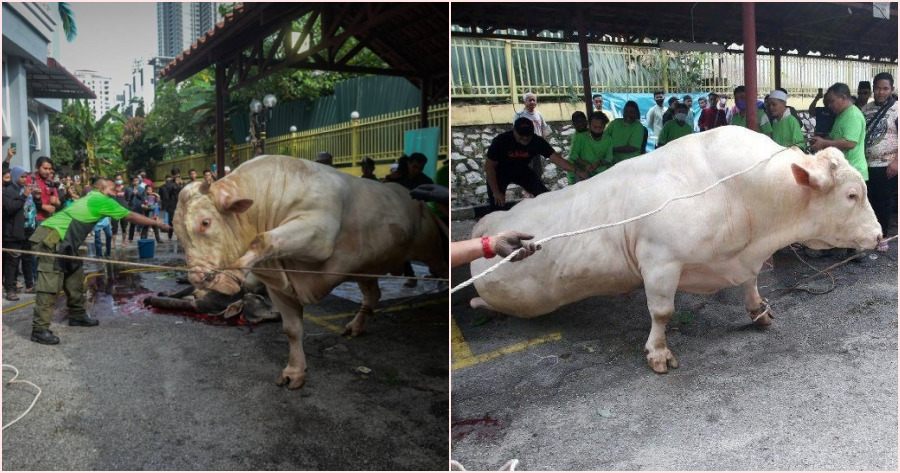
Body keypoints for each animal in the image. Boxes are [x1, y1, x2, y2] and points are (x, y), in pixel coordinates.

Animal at [174, 155, 447, 389]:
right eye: (176, 232)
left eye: (205, 222)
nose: (197, 278)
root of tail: (414, 200)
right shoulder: (278, 286)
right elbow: (292, 329)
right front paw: (295, 372)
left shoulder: (319, 234)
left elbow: (263, 239)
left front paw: (236, 273)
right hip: (365, 267)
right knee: (372, 295)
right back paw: (356, 326)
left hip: (432, 248)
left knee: (442, 266)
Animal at [469, 126, 882, 374]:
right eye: (851, 195)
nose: (879, 235)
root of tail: (488, 221)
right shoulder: (660, 261)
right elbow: (662, 312)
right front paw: (657, 352)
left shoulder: (742, 259)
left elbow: (750, 284)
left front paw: (759, 312)